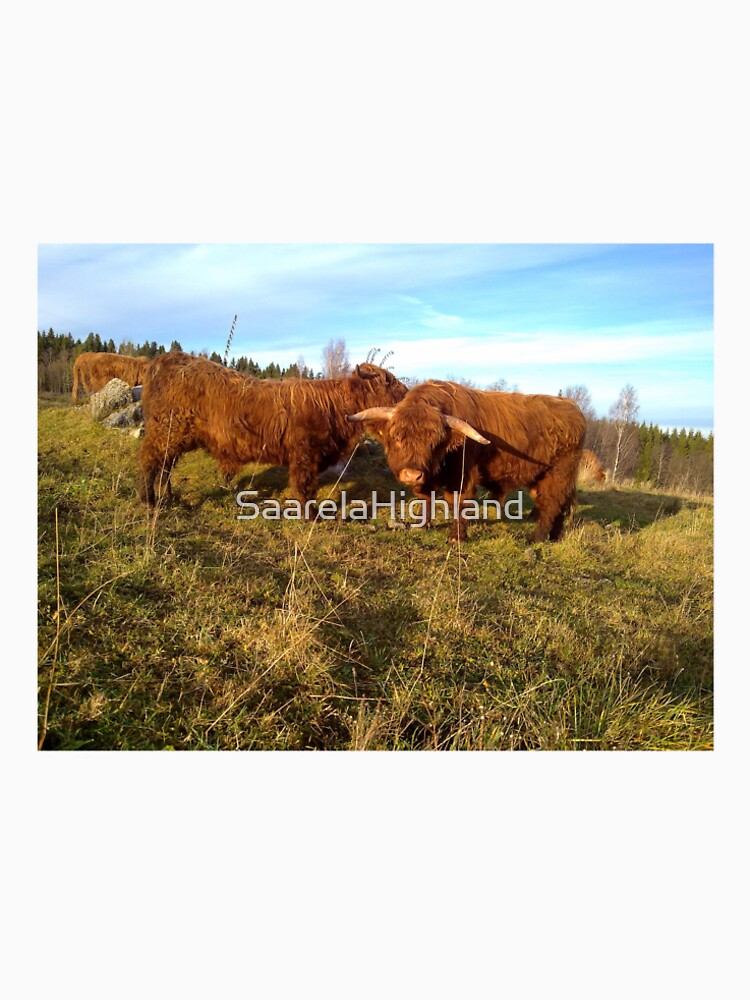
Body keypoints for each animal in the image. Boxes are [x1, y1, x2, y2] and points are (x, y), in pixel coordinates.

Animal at [138, 352, 408, 508]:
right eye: (388, 381)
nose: (407, 392)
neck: (333, 406)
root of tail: (167, 359)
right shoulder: (304, 456)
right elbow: (305, 487)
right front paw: (312, 515)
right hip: (165, 432)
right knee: (151, 462)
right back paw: (149, 500)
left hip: (173, 437)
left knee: (165, 467)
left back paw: (170, 498)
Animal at [347, 380, 586, 543]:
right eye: (397, 437)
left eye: (434, 442)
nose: (412, 474)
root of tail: (573, 408)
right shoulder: (428, 478)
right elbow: (425, 499)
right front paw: (422, 525)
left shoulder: (463, 475)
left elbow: (459, 503)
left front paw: (456, 537)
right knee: (560, 503)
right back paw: (554, 536)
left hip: (559, 472)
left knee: (552, 503)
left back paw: (536, 538)